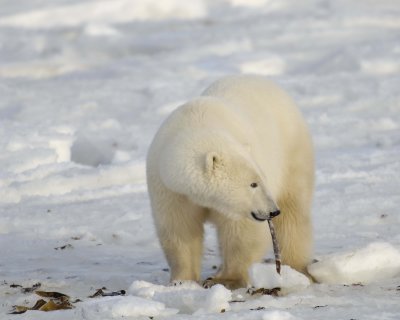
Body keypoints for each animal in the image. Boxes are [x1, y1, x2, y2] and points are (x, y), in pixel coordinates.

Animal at [145, 75, 314, 290]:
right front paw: (182, 280)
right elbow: (179, 229)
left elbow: (240, 232)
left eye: (261, 179)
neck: (196, 122)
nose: (273, 211)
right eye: (253, 184)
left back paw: (296, 267)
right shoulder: (169, 189)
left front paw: (227, 279)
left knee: (294, 212)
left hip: (292, 149)